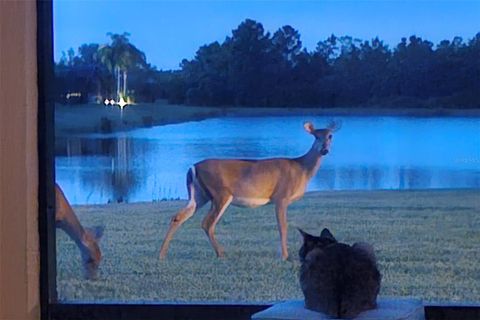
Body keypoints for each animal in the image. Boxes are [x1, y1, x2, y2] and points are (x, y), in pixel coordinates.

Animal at [159, 122, 340, 260]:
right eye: (316, 136)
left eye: (330, 136)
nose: (324, 150)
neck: (301, 168)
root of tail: (193, 167)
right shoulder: (281, 197)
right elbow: (283, 226)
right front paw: (285, 256)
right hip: (220, 193)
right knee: (207, 222)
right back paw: (221, 253)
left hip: (200, 195)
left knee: (178, 217)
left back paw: (162, 254)